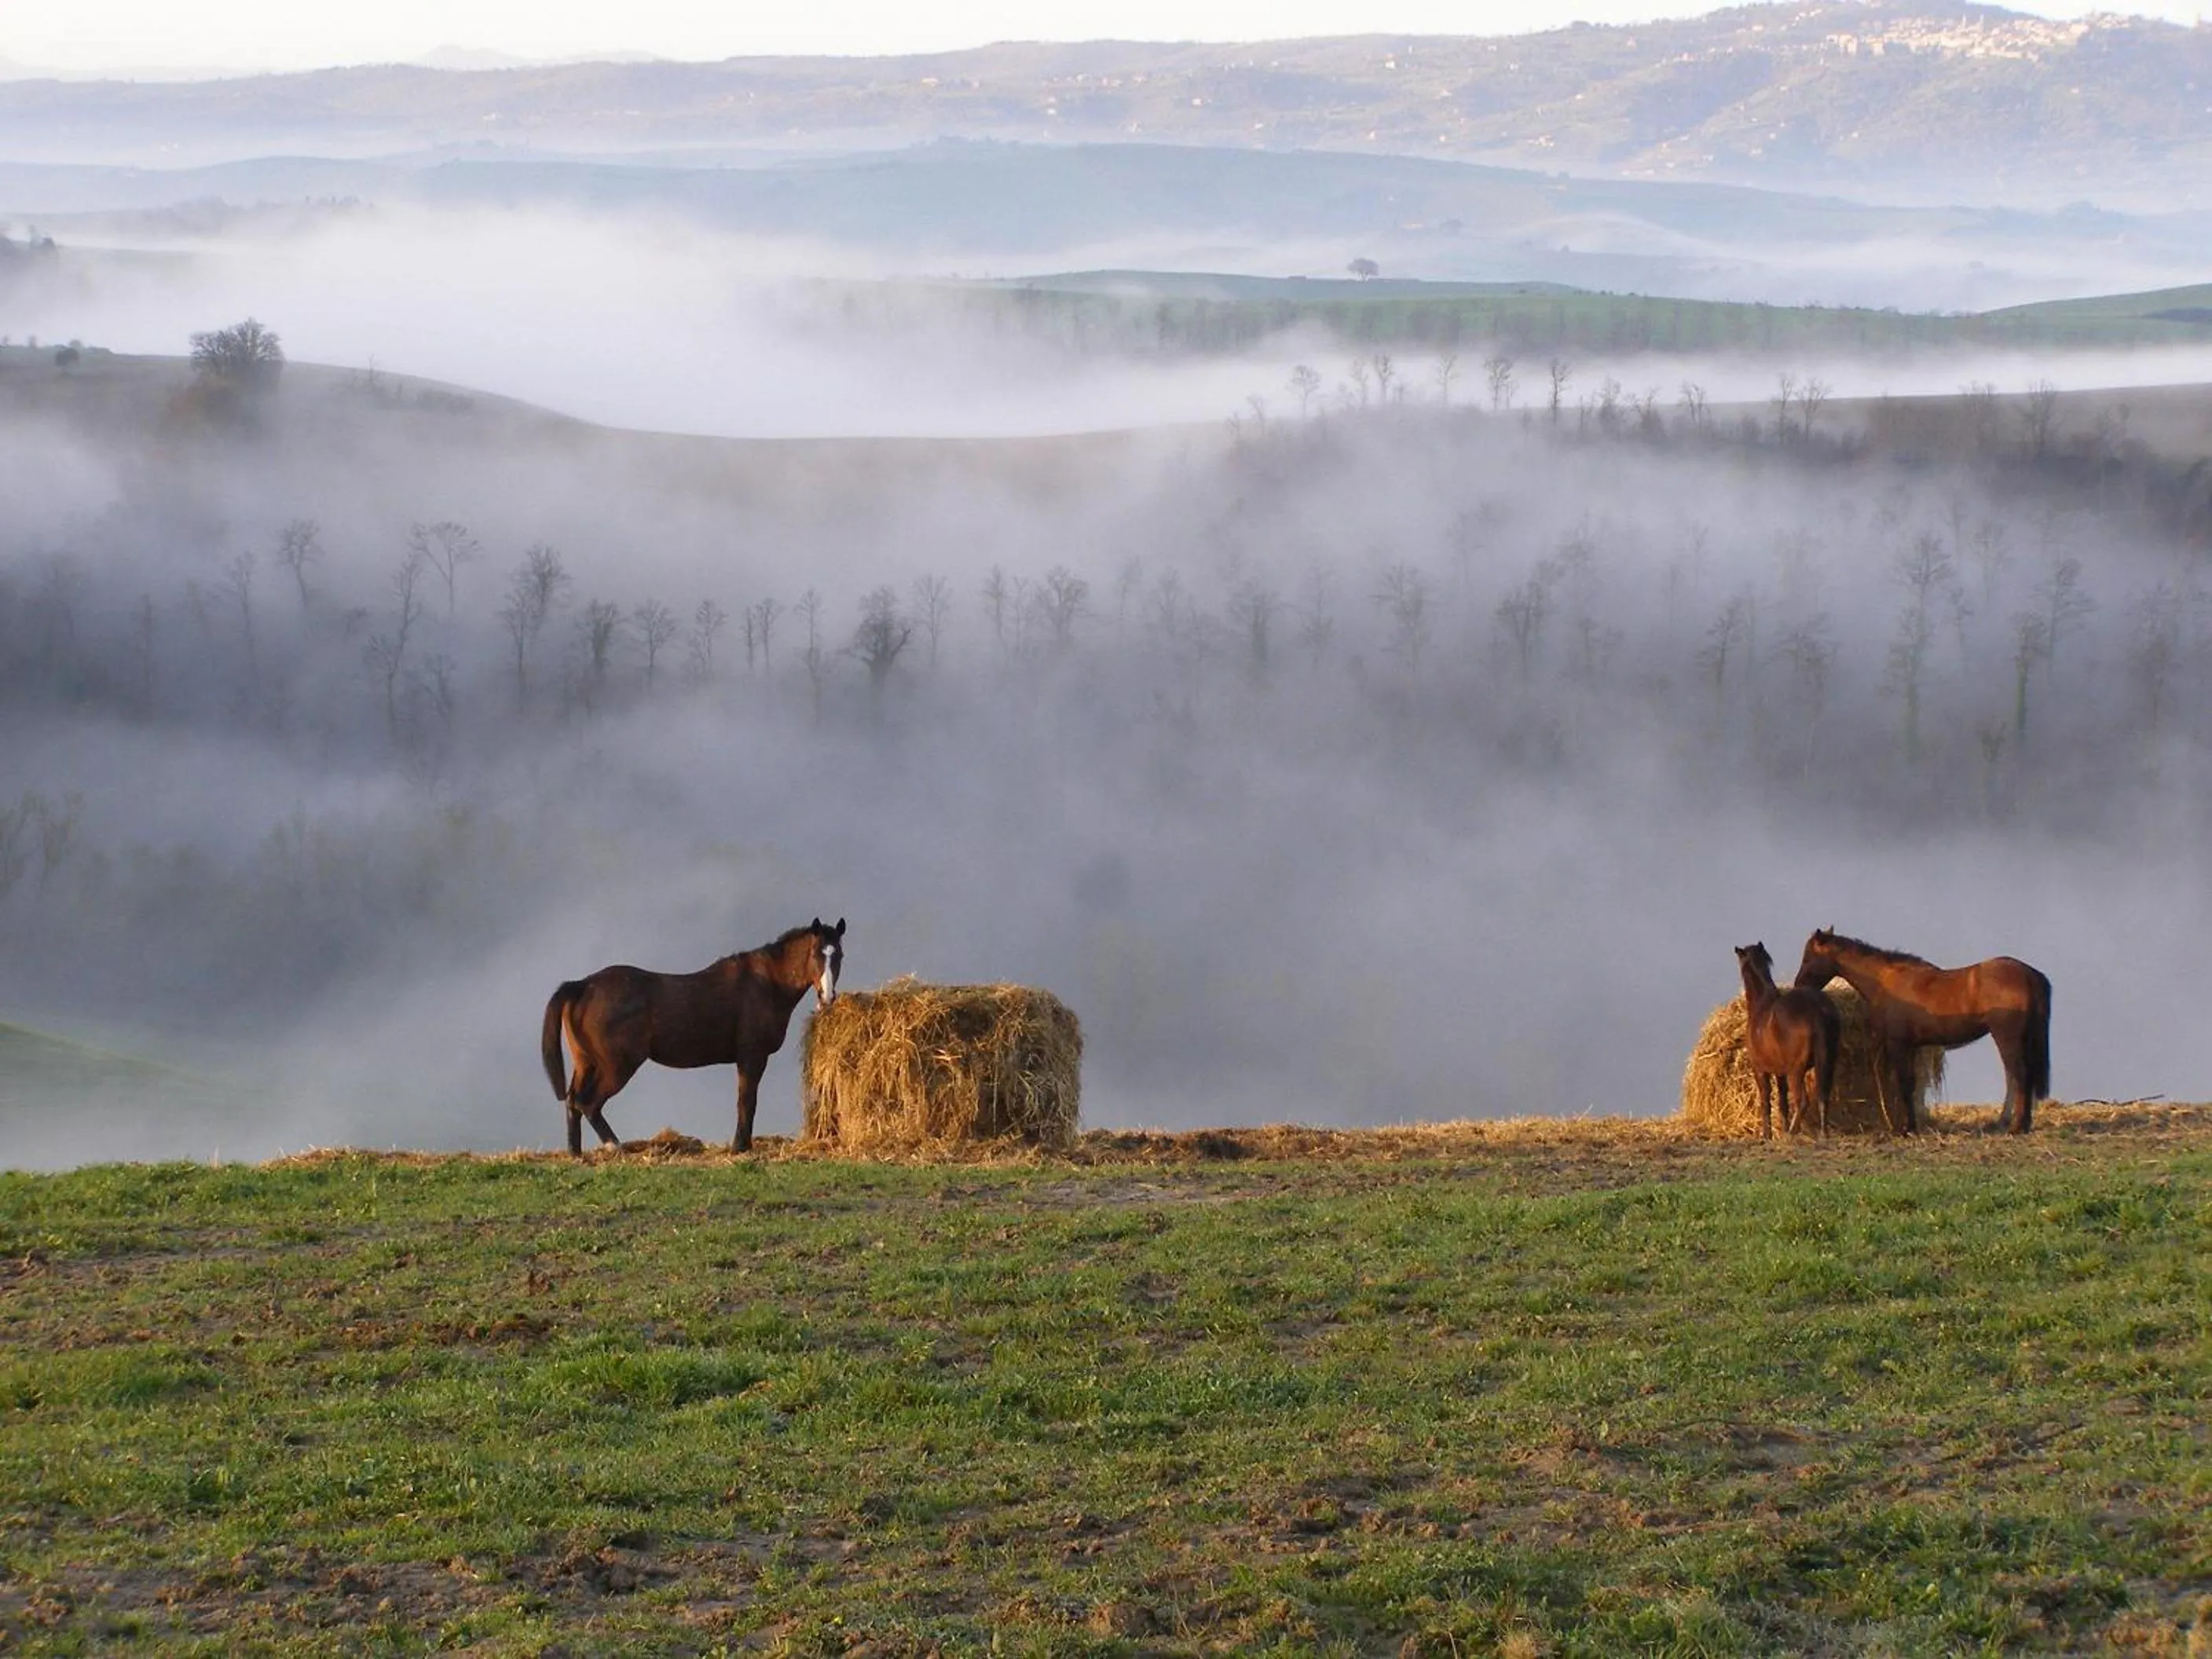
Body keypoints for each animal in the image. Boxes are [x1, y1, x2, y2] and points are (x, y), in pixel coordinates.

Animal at [540, 917, 845, 1156]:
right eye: (816, 954)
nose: (828, 997)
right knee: (588, 1102)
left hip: (586, 1063)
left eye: (839, 955)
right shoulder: (752, 1056)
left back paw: (576, 1154)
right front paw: (740, 1147)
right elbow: (746, 1100)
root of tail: (582, 986)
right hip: (616, 1067)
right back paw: (614, 1146)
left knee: (572, 1101)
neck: (766, 984)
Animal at [1735, 942, 1840, 1139]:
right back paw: (1822, 1134)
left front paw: (1767, 1135)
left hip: (1796, 1070)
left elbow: (1766, 1102)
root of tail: (1817, 1009)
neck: (1761, 1004)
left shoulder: (1760, 1070)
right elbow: (1782, 1103)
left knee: (1802, 1101)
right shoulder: (1780, 1072)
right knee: (1823, 1096)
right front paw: (1781, 1129)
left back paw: (1792, 1132)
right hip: (1827, 1063)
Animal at [1794, 928, 2050, 1136]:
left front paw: (1907, 1128)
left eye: (1809, 958)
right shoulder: (1911, 1047)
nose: (1798, 986)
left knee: (2019, 1075)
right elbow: (1911, 1084)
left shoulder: (1898, 1045)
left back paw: (2016, 1126)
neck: (1885, 981)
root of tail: (2029, 974)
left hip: (2007, 1037)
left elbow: (1905, 1083)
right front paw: (1911, 1125)